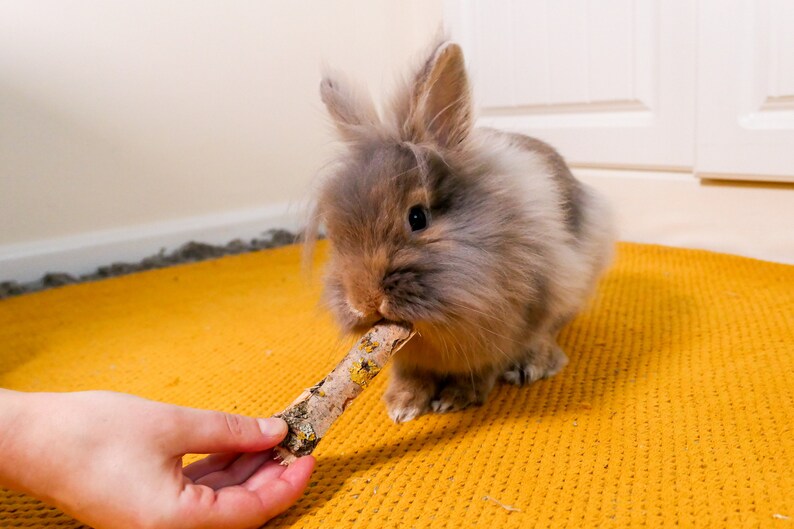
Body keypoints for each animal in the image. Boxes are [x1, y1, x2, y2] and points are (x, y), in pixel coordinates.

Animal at [308, 39, 615, 423]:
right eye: (334, 234)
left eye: (417, 218)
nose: (363, 302)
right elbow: (410, 371)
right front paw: (402, 404)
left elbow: (485, 365)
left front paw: (456, 398)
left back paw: (531, 366)